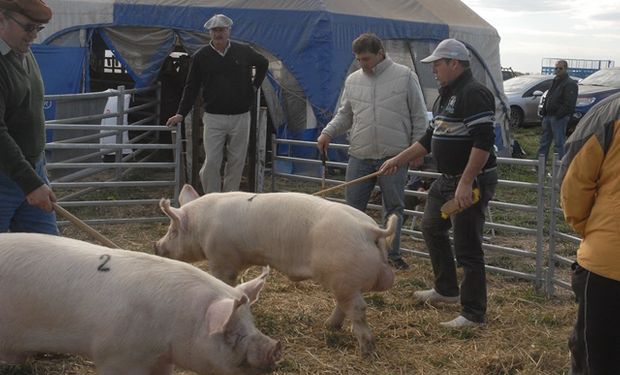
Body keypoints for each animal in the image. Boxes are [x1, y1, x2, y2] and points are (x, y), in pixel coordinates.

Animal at [155, 186, 398, 358]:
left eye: (173, 230)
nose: (156, 246)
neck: (200, 227)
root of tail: (370, 230)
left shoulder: (222, 259)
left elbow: (224, 283)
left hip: (343, 277)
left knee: (358, 309)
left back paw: (367, 352)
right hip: (346, 282)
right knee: (345, 305)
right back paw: (330, 326)